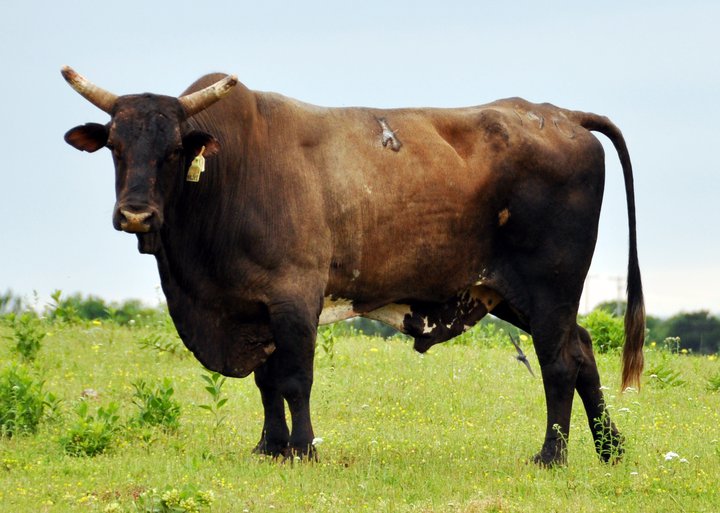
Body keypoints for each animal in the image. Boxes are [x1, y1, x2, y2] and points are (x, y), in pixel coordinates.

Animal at [61, 65, 644, 466]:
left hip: (550, 287)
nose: (136, 213)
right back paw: (610, 450)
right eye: (115, 147)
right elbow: (267, 381)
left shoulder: (294, 296)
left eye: (175, 151)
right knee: (582, 349)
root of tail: (560, 114)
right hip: (513, 294)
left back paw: (552, 456)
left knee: (559, 363)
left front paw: (302, 450)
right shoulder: (255, 307)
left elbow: (294, 378)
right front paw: (268, 448)